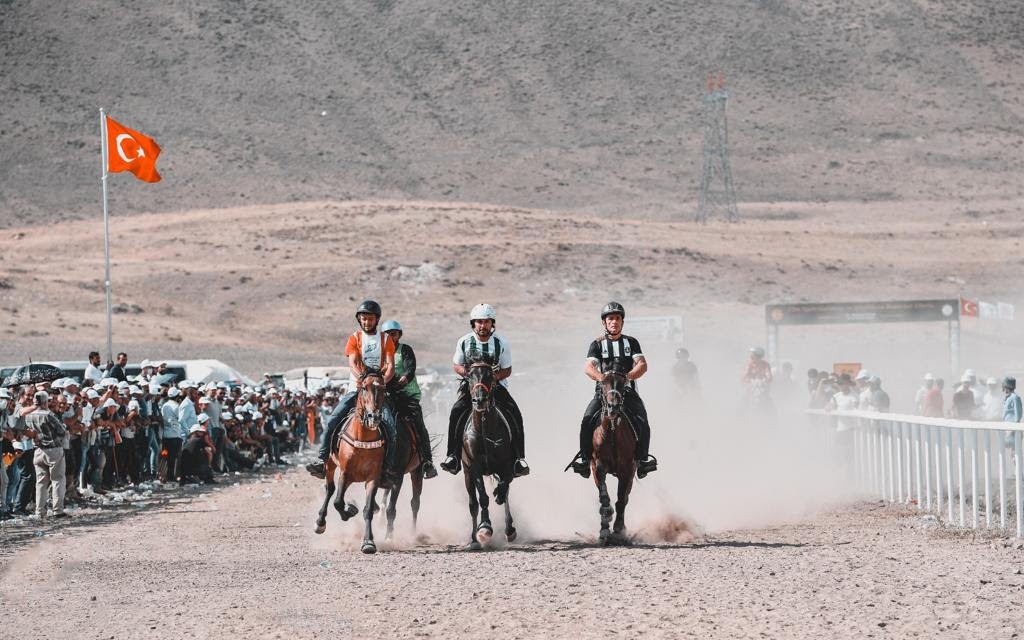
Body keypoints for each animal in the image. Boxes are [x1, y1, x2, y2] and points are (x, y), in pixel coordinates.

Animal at [460, 360, 516, 548]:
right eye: (470, 376)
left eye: (490, 376)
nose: (479, 400)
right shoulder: (474, 467)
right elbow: (483, 498)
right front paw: (484, 528)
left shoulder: (507, 466)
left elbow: (505, 486)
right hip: (466, 473)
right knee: (473, 503)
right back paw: (473, 539)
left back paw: (509, 529)